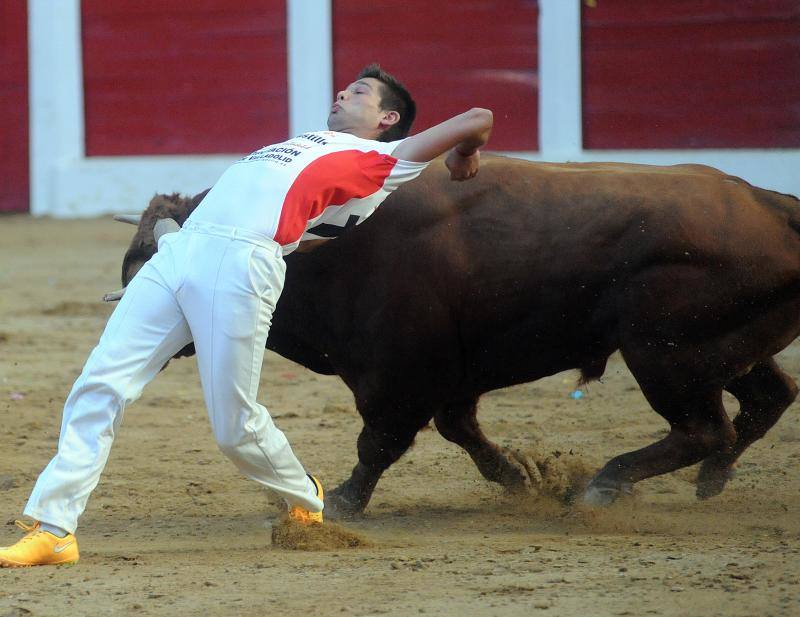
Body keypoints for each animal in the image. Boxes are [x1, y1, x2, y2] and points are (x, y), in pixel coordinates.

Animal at [112, 155, 800, 516]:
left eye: (150, 265)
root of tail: (771, 204)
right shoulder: (449, 379)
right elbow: (460, 430)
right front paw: (519, 479)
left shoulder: (401, 379)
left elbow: (378, 444)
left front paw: (341, 502)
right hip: (722, 351)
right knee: (765, 401)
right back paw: (710, 481)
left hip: (665, 354)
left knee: (707, 427)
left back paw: (604, 485)